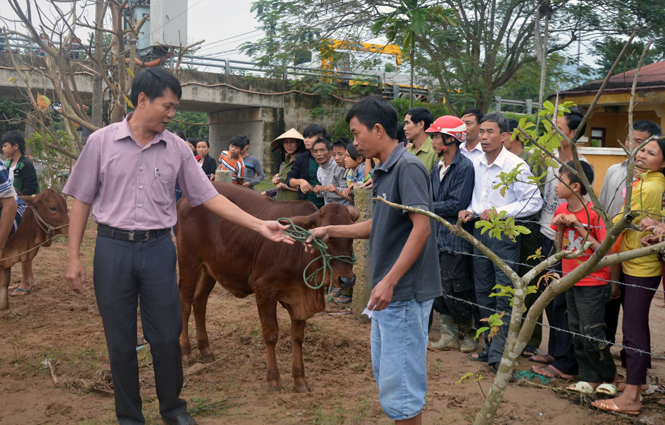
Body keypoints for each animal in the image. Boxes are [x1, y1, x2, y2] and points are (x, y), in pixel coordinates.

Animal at [174, 182, 356, 390]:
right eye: (325, 237)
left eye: (350, 235)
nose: (347, 280)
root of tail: (183, 200)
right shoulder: (264, 290)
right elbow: (271, 335)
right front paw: (274, 378)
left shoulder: (299, 297)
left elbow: (297, 336)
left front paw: (300, 379)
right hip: (189, 262)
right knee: (185, 303)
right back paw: (186, 353)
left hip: (209, 269)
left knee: (199, 302)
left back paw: (205, 349)